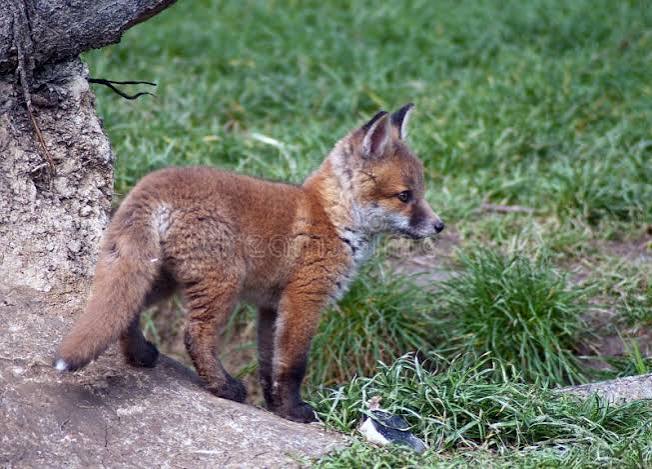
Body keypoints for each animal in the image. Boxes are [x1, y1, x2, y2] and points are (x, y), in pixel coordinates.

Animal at [54, 104, 444, 422]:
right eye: (405, 196)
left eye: (421, 193)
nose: (439, 225)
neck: (332, 218)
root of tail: (153, 182)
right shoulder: (304, 299)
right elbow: (293, 365)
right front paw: (294, 411)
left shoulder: (270, 307)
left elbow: (269, 364)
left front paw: (275, 406)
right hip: (222, 283)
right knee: (194, 335)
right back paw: (223, 387)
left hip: (160, 278)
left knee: (126, 311)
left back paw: (140, 355)